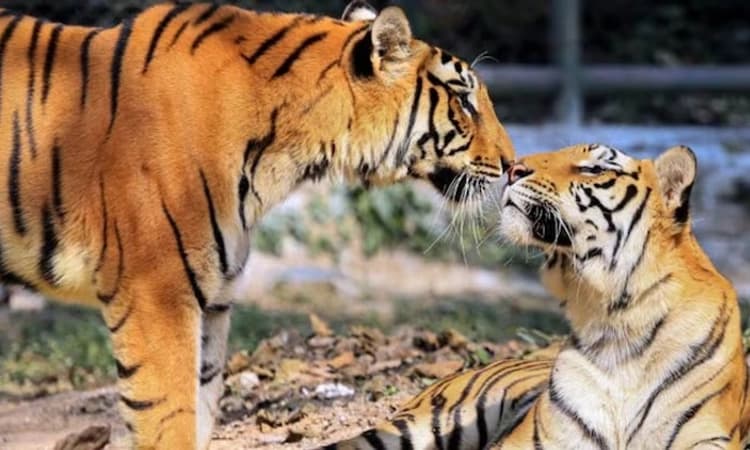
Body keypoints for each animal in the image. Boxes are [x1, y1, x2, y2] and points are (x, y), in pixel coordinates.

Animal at [0, 1, 515, 448]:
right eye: (464, 101)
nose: (512, 165)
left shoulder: (211, 296)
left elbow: (201, 404)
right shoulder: (156, 292)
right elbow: (169, 417)